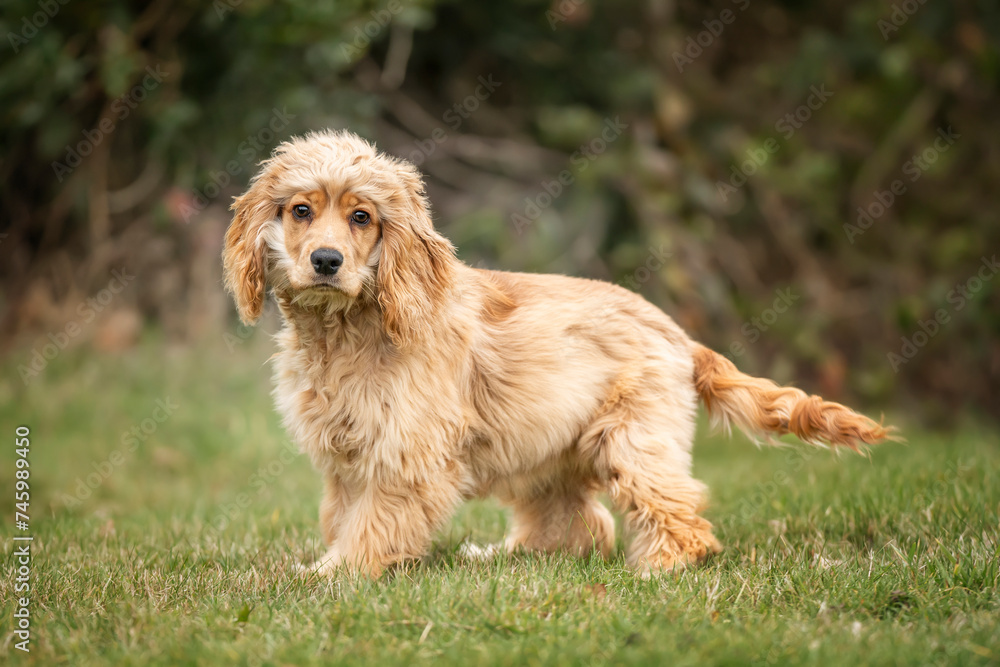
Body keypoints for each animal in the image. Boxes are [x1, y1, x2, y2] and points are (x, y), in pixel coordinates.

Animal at [221, 130, 892, 580]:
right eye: (300, 210)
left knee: (677, 515)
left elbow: (374, 521)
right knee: (578, 524)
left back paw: (659, 569)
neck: (347, 329)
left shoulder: (407, 451)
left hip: (633, 438)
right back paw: (502, 555)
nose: (326, 261)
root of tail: (673, 329)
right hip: (547, 447)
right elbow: (343, 514)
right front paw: (334, 562)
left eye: (361, 217)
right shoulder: (347, 453)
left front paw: (339, 574)